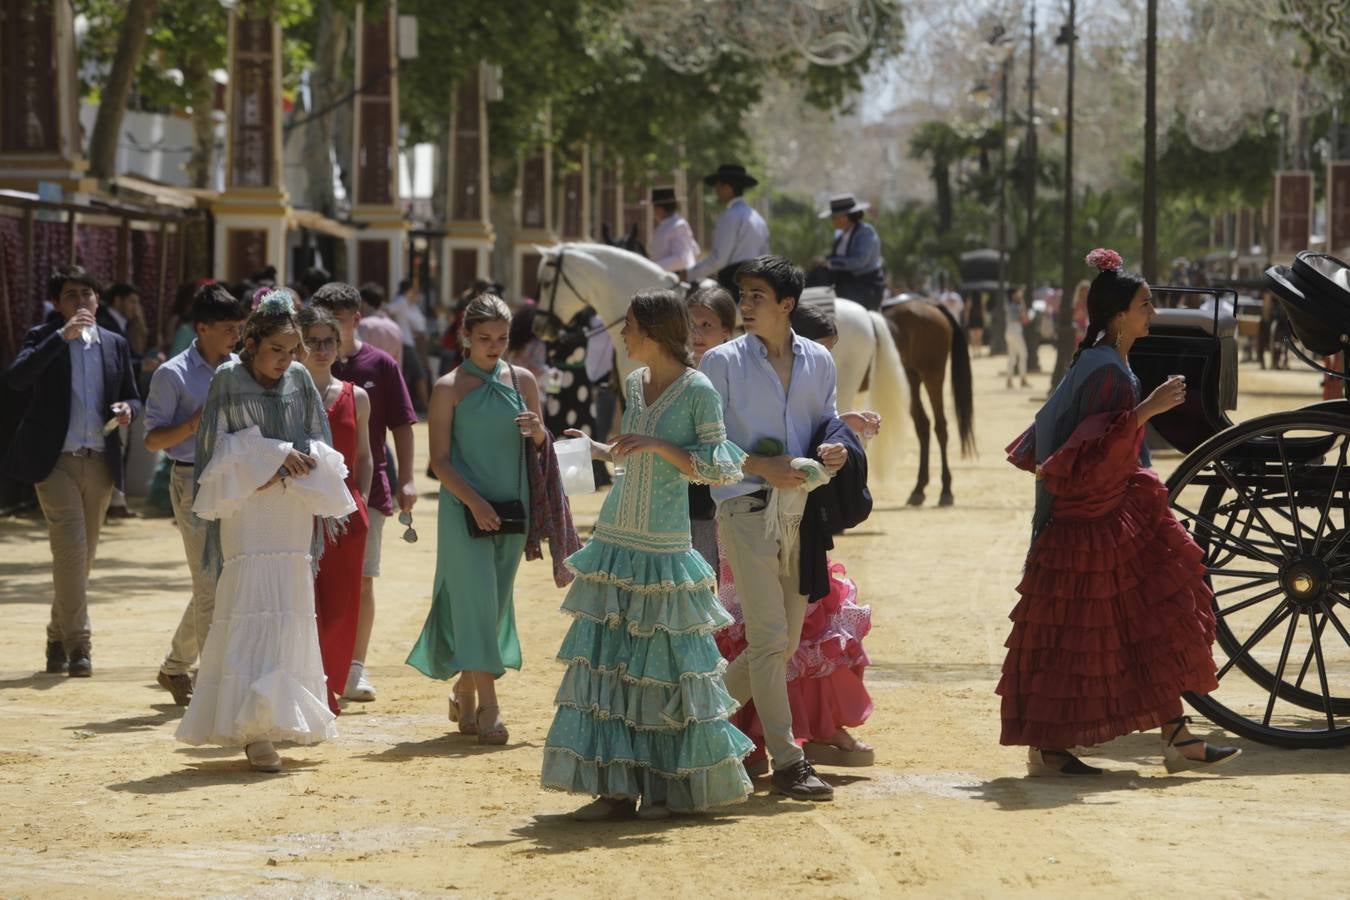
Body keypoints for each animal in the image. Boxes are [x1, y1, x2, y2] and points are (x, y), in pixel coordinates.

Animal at [880, 296, 977, 504]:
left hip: (932, 375)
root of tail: (931, 304)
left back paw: (946, 490)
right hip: (910, 379)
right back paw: (919, 488)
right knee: (923, 425)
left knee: (940, 427)